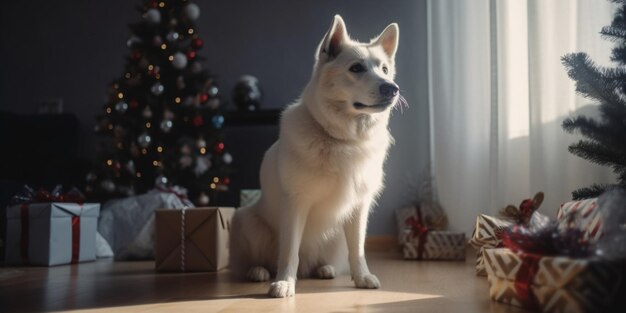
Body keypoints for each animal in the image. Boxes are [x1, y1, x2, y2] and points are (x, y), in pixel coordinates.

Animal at [230, 15, 400, 298]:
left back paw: (324, 268)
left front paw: (362, 277)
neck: (342, 140)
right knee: (258, 260)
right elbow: (289, 251)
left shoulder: (359, 207)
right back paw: (258, 271)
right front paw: (284, 283)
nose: (393, 88)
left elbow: (358, 250)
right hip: (246, 221)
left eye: (384, 69)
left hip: (336, 235)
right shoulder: (295, 204)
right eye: (356, 68)